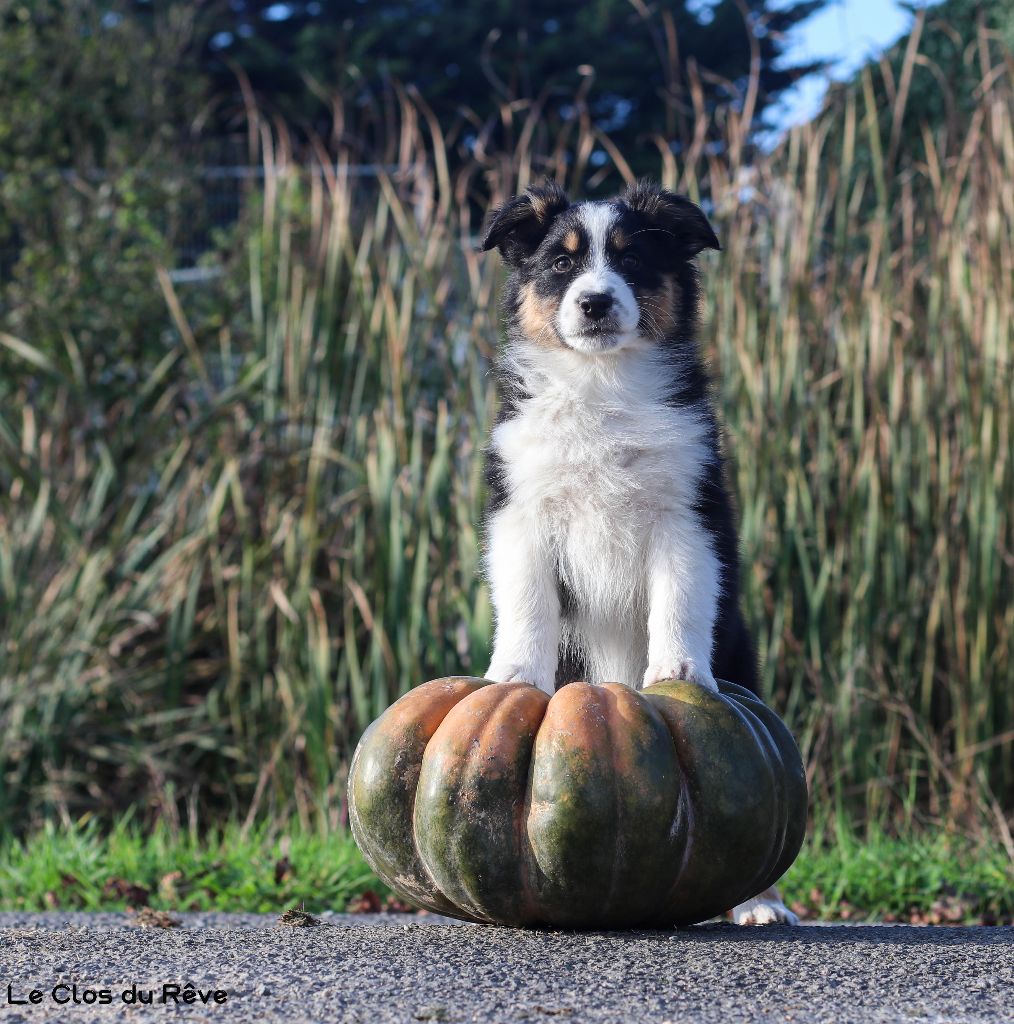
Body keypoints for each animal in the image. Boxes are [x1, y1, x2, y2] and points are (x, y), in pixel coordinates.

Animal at [479, 178, 798, 929]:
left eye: (631, 258)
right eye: (561, 262)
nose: (595, 301)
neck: (603, 385)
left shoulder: (687, 517)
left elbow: (678, 601)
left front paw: (675, 672)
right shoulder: (521, 516)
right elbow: (527, 606)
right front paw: (513, 675)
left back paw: (760, 905)